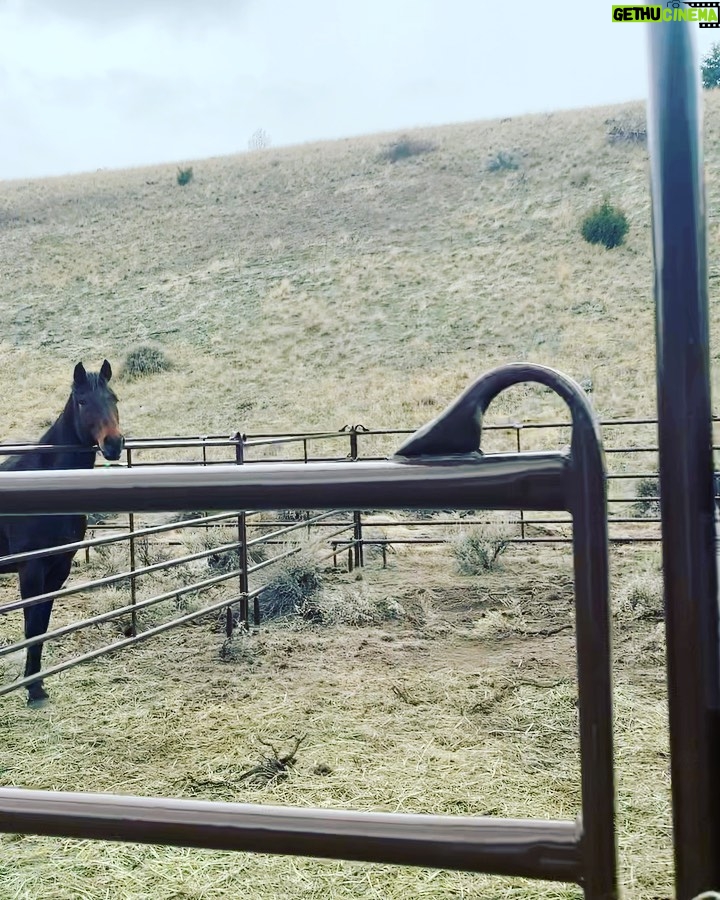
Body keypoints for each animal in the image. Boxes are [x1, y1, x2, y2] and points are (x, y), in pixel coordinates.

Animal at [0, 359, 124, 706]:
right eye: (82, 401)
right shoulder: (31, 568)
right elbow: (31, 626)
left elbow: (41, 626)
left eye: (114, 398)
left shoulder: (59, 567)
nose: (114, 444)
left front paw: (38, 685)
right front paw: (32, 690)